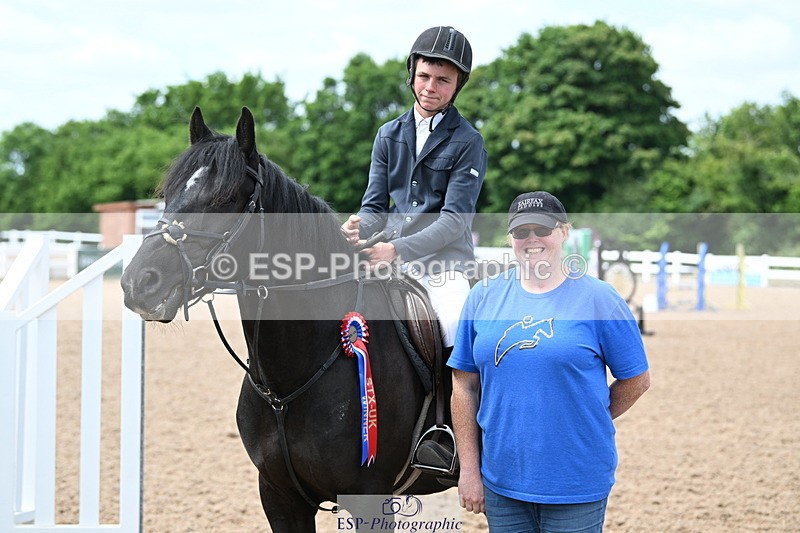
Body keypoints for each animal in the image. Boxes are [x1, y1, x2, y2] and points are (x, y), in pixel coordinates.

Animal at [120, 107, 456, 532]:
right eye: (169, 194)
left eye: (225, 198)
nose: (139, 283)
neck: (289, 381)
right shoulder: (279, 496)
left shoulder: (369, 499)